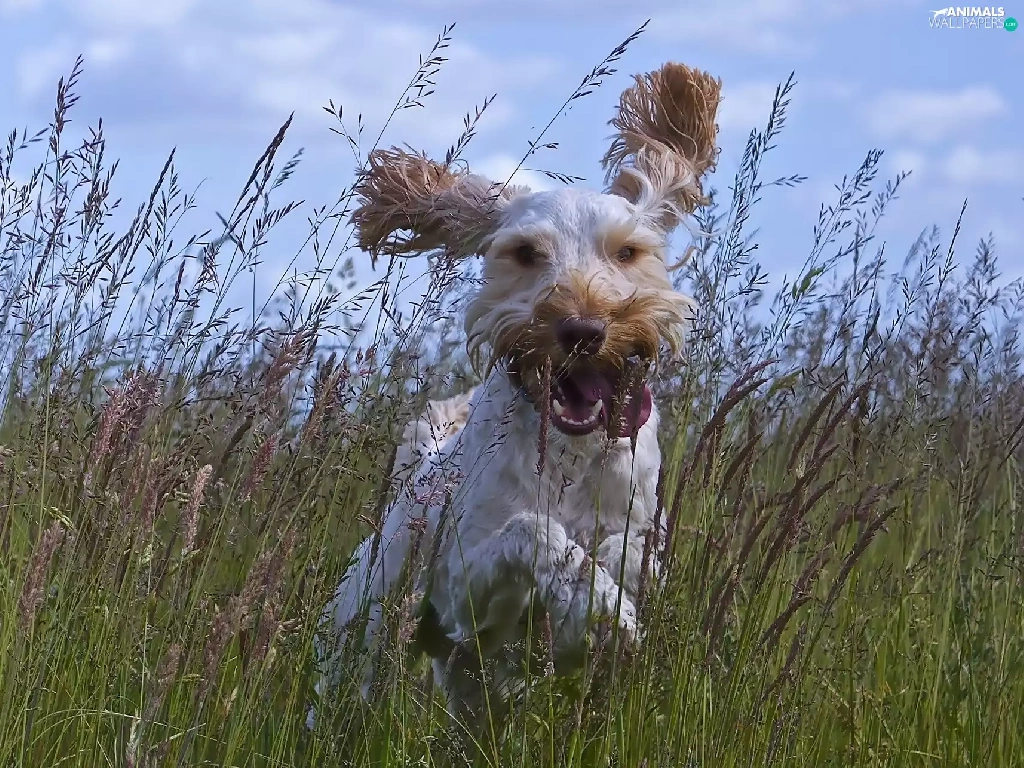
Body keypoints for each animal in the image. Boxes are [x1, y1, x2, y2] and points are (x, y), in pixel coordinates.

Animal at [308, 61, 721, 735]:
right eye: (526, 253)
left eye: (627, 252)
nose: (583, 329)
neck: (574, 457)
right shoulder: (457, 591)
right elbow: (537, 532)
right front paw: (600, 605)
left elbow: (629, 550)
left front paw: (611, 594)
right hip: (358, 659)